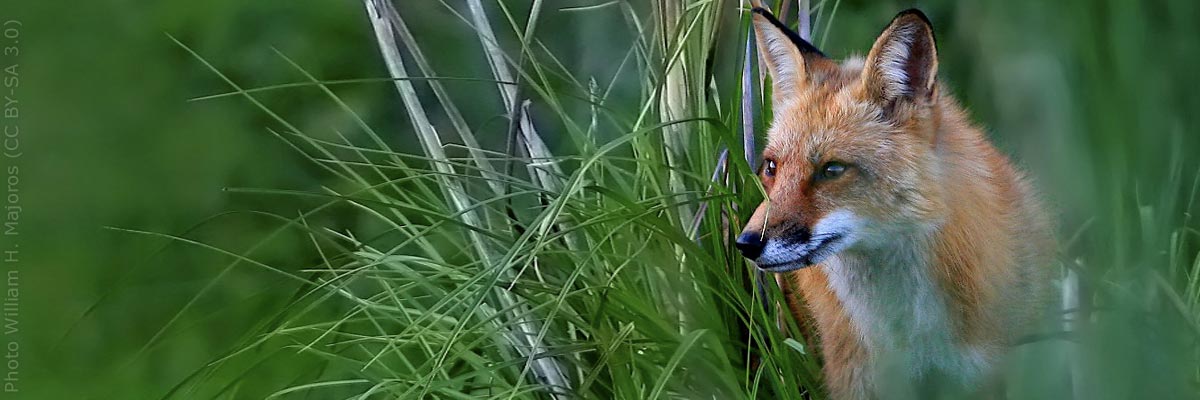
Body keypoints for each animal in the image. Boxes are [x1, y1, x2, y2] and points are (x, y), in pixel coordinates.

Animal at [734, 5, 1055, 399]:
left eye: (832, 169)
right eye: (771, 167)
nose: (746, 244)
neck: (908, 330)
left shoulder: (988, 370)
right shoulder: (857, 378)